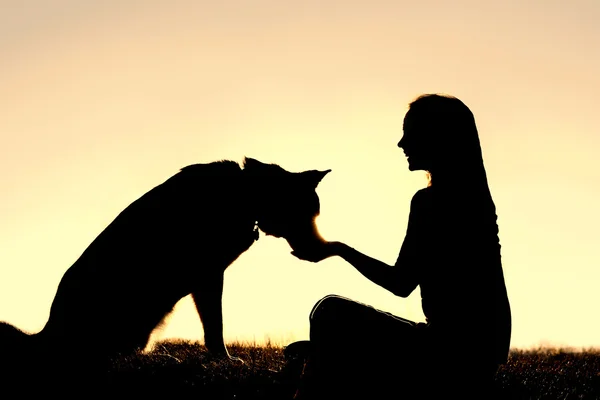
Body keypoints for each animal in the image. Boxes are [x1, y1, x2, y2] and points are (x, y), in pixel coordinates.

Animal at [0, 156, 330, 372]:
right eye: (307, 213)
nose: (318, 247)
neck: (243, 194)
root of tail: (45, 335)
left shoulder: (207, 278)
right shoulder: (209, 275)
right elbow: (215, 325)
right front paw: (222, 360)